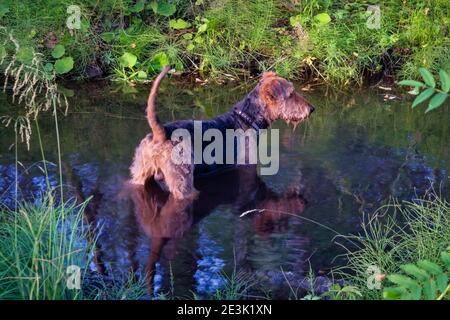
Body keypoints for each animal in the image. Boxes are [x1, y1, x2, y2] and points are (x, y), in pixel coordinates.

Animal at [128, 66, 314, 199]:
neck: (248, 118)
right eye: (291, 94)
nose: (311, 109)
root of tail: (161, 132)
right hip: (182, 181)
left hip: (140, 172)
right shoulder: (248, 166)